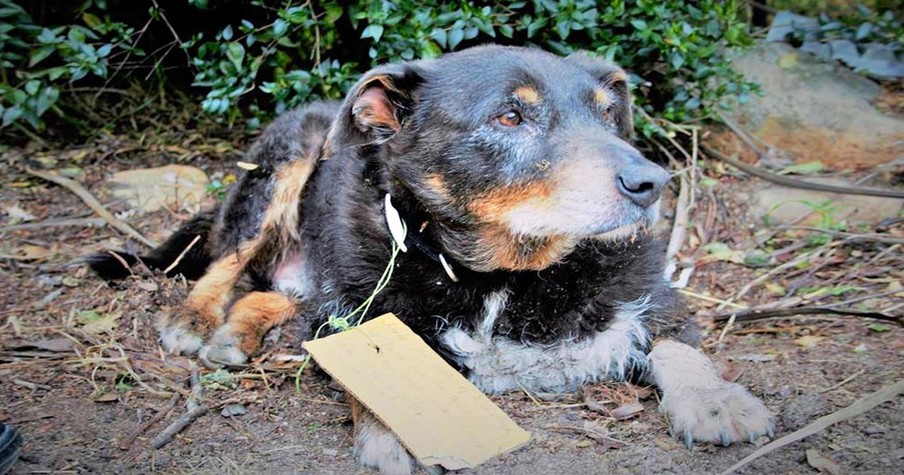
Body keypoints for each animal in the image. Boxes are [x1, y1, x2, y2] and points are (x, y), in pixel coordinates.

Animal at [88, 46, 772, 474]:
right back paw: (197, 318)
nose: (652, 183)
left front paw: (716, 399)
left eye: (609, 116)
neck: (504, 275)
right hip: (281, 168)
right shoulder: (352, 315)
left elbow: (680, 346)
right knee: (224, 261)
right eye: (510, 115)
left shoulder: (658, 297)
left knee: (275, 292)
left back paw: (238, 331)